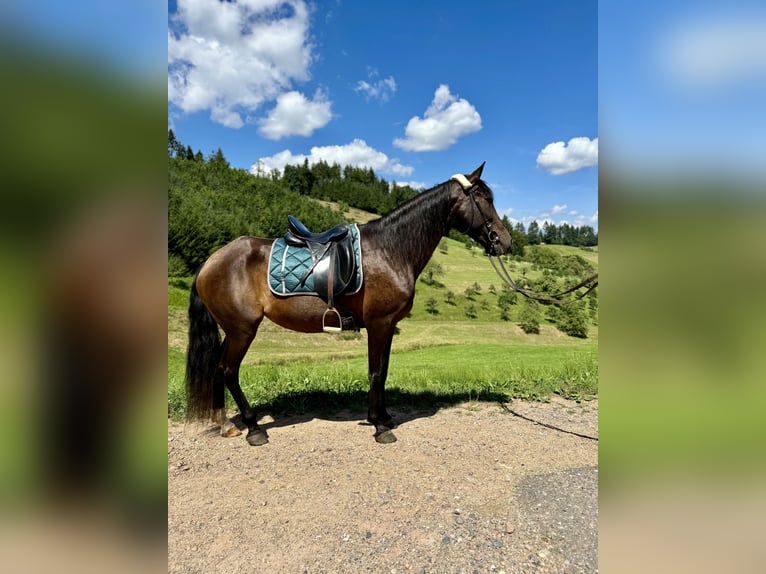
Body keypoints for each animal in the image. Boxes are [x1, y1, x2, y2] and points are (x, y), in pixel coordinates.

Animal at [183, 162, 512, 446]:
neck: (390, 249)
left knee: (218, 368)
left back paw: (227, 424)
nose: (505, 241)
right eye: (484, 199)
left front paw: (384, 417)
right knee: (228, 369)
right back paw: (253, 428)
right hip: (242, 329)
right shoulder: (379, 324)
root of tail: (211, 260)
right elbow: (376, 372)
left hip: (233, 330)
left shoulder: (387, 327)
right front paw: (379, 426)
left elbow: (383, 370)